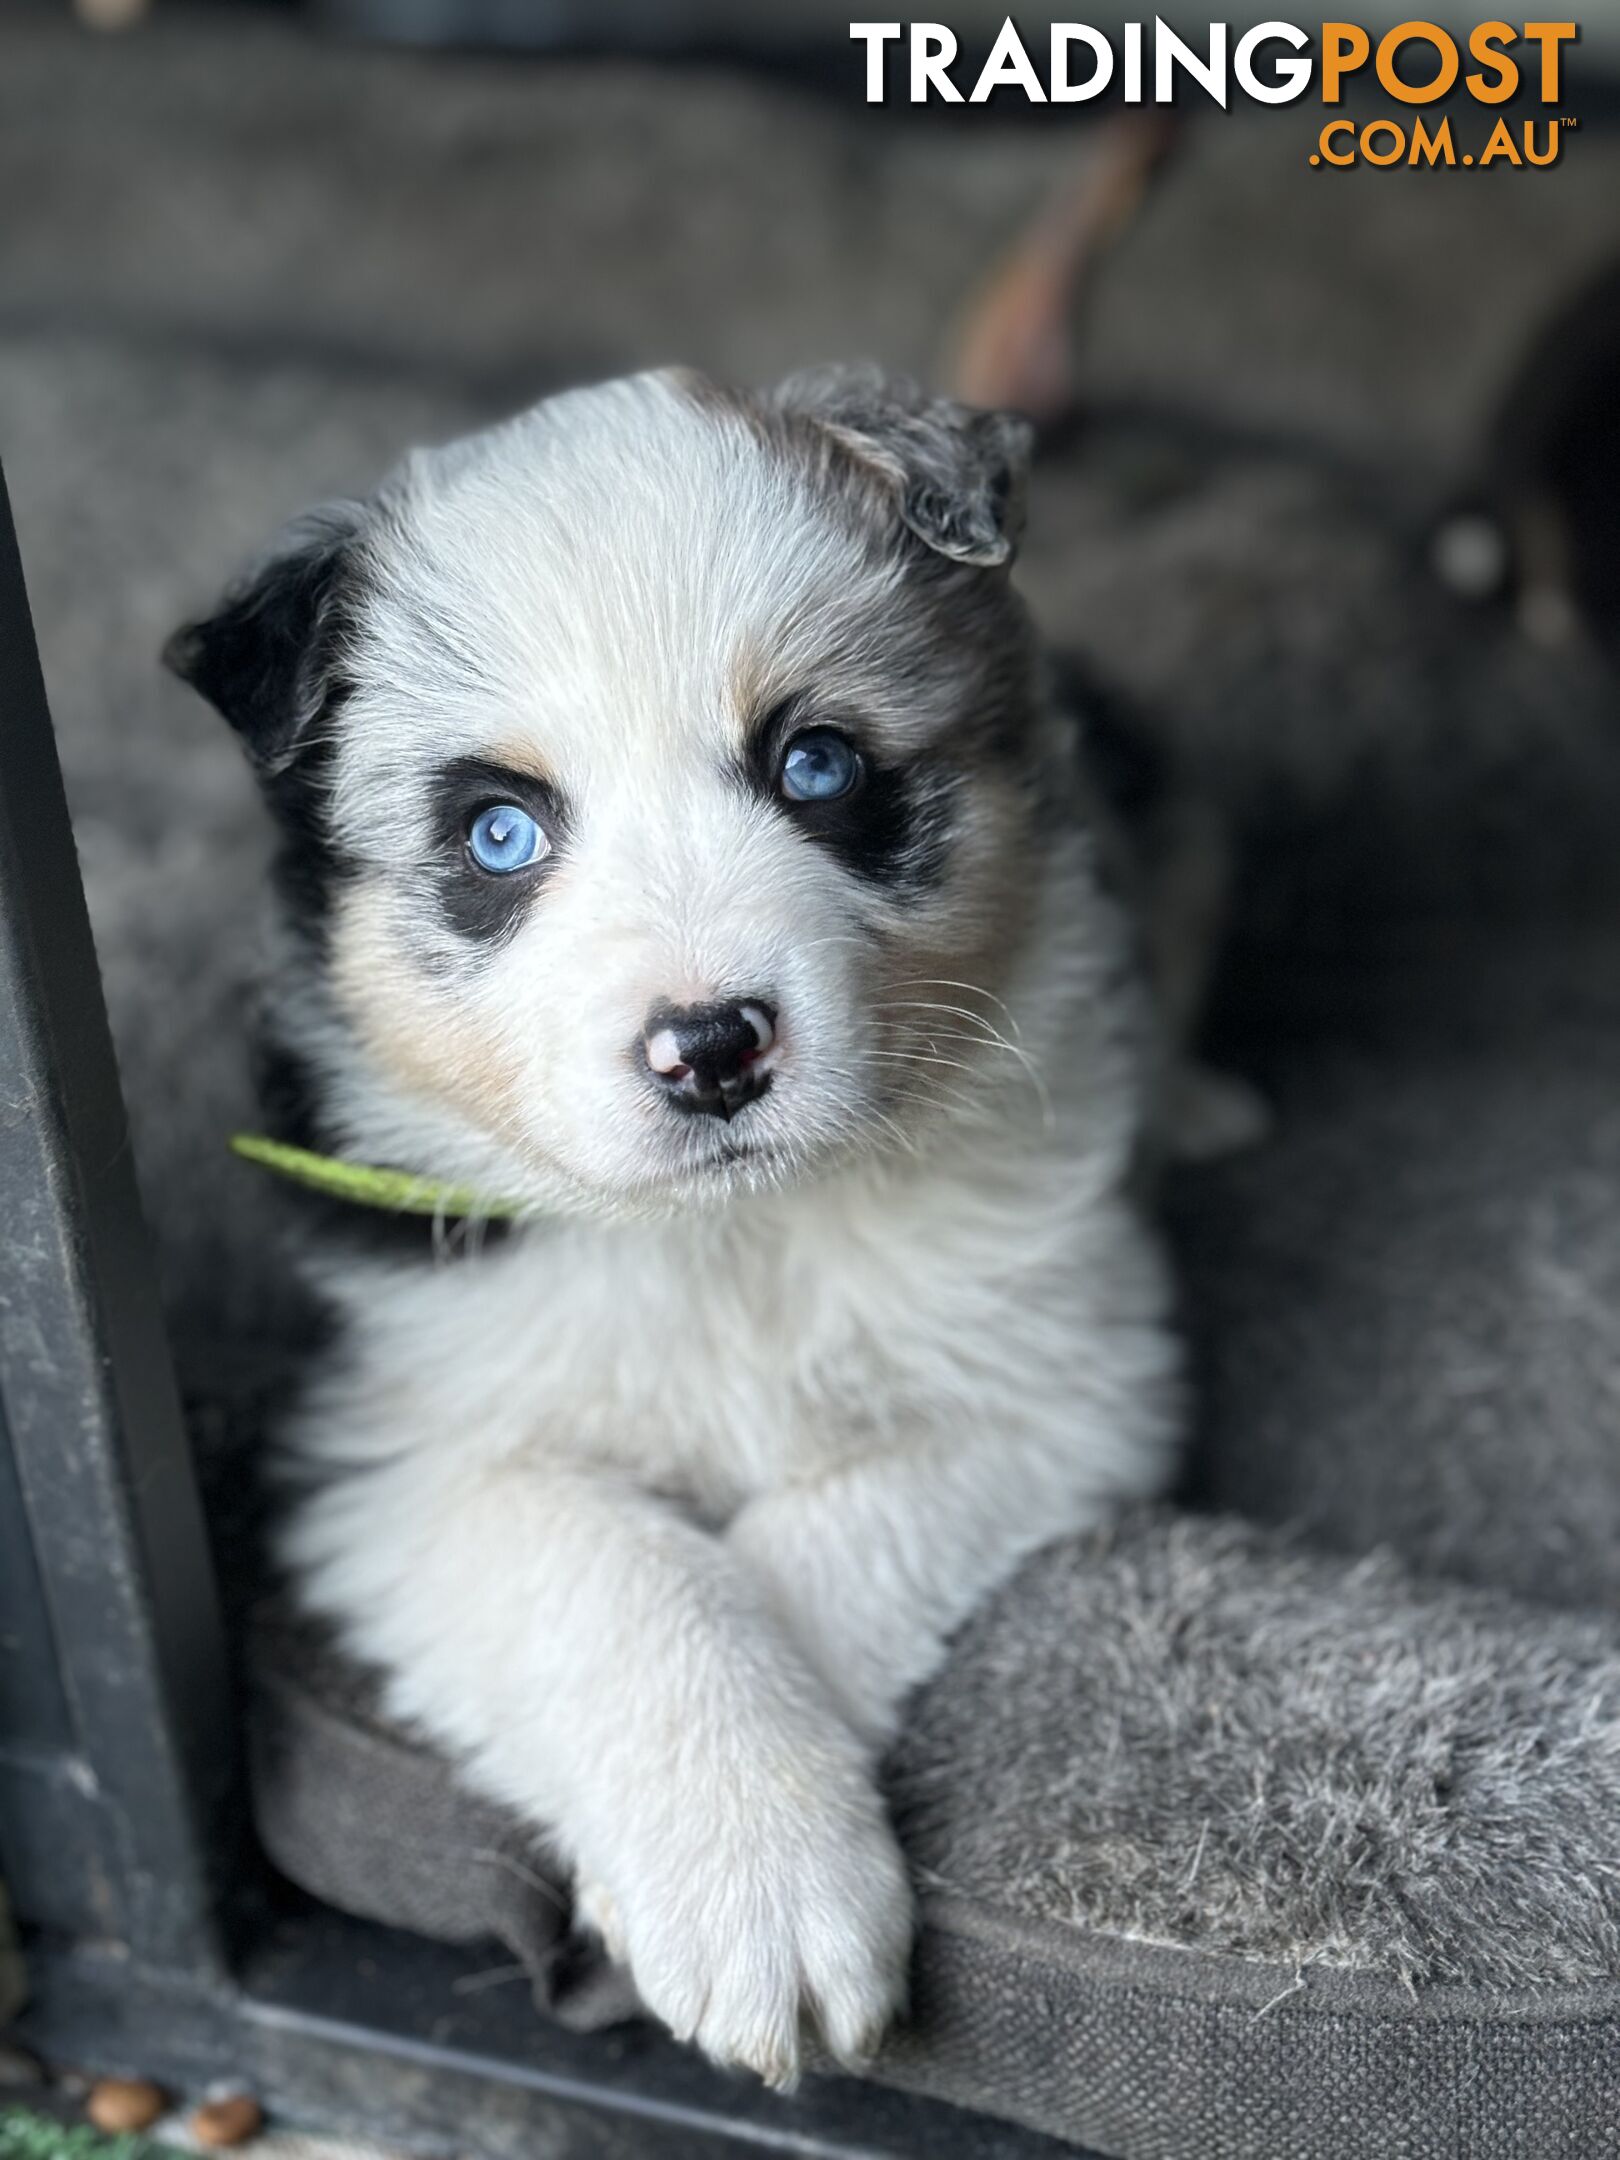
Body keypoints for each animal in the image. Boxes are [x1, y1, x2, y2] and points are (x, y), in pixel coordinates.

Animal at [168, 371, 1183, 2090]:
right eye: (499, 835)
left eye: (817, 765)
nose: (711, 1048)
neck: (733, 1235)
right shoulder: (410, 1458)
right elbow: (628, 1574)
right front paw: (751, 1883)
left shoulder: (1057, 1374)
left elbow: (820, 1535)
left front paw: (776, 1867)